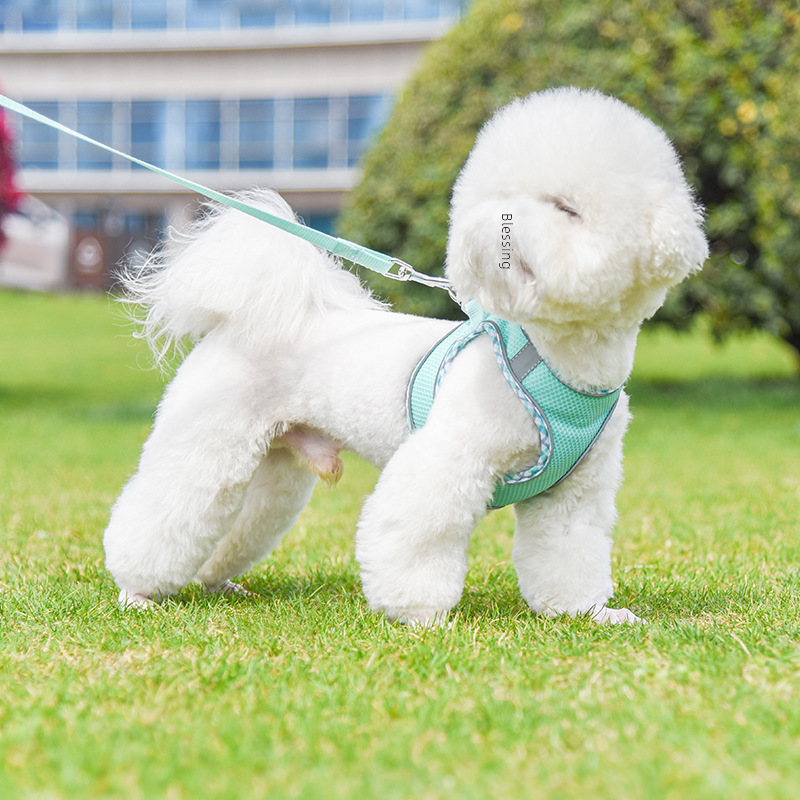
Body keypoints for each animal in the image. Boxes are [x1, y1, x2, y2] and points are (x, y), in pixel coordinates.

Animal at [104, 87, 708, 625]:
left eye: (565, 207)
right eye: (495, 196)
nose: (499, 222)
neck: (555, 362)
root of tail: (245, 318)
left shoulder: (574, 494)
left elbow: (569, 552)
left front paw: (584, 612)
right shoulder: (449, 457)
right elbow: (417, 529)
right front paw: (419, 614)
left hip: (268, 468)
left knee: (232, 526)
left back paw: (215, 581)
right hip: (205, 444)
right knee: (162, 514)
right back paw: (137, 592)